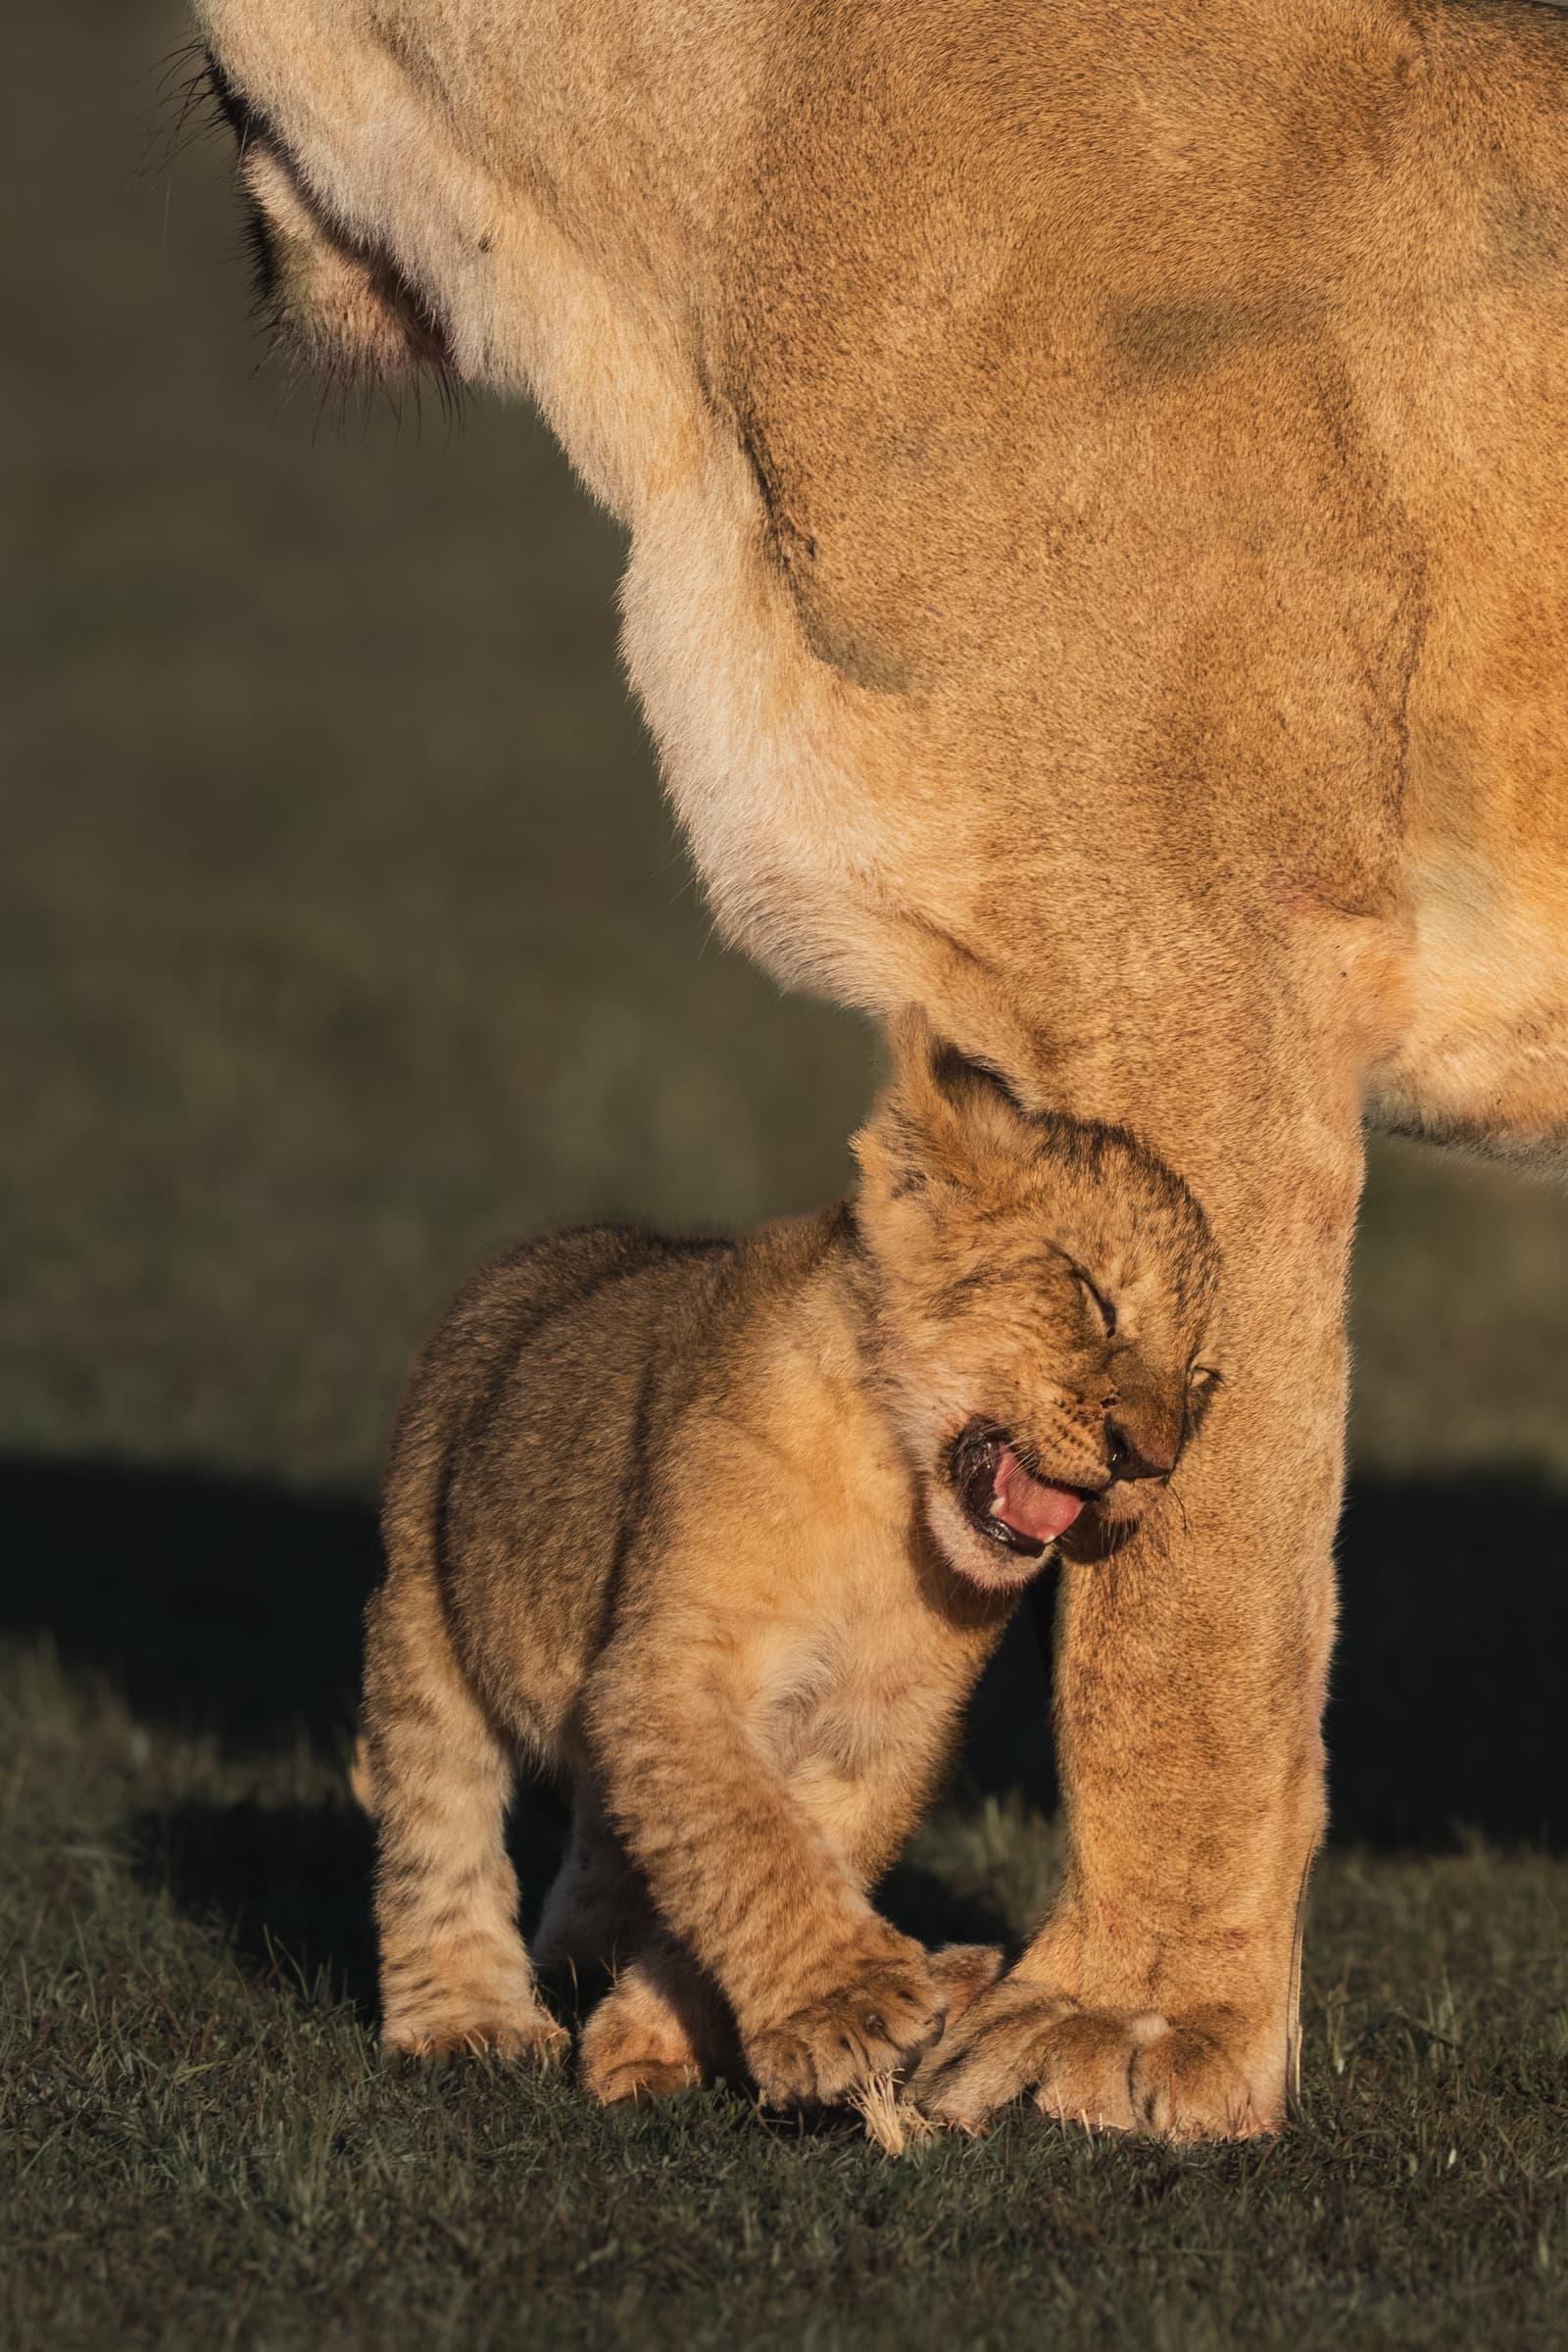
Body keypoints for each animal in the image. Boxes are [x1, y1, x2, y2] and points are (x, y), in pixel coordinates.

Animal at [358, 1013, 1218, 2109]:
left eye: (1202, 1379)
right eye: (1090, 1295)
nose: (1150, 1459)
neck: (889, 1506)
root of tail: (522, 1262)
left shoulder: (879, 1726)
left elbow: (784, 1849)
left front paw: (654, 2040)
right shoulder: (675, 1673)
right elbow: (748, 1841)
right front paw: (847, 2008)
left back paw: (588, 1956)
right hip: (422, 1619)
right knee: (440, 1826)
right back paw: (467, 2022)